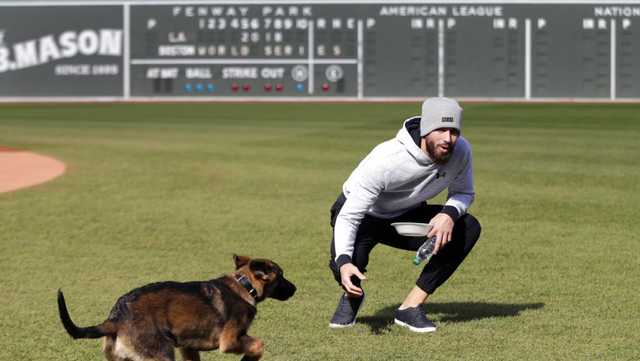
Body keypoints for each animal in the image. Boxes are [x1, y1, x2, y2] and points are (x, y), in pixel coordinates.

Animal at [56, 255, 296, 358]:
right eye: (282, 276)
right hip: (161, 354)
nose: (296, 288)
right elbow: (259, 345)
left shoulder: (188, 347)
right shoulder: (229, 341)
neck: (244, 286)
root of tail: (114, 319)